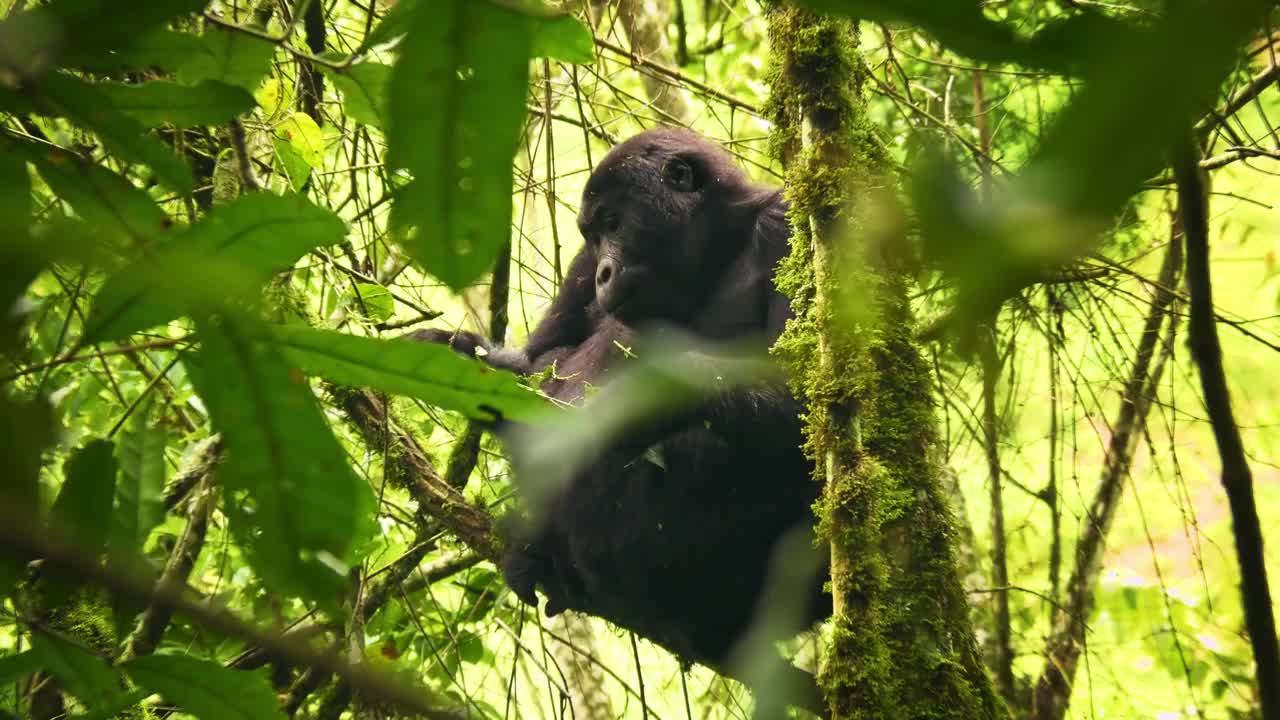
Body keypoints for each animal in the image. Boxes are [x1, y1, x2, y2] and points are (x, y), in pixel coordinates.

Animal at [414, 127, 824, 696]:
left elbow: (819, 405)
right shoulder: (581, 270)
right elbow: (537, 368)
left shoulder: (786, 226)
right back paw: (542, 555)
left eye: (614, 223)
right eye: (592, 236)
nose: (606, 272)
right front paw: (461, 356)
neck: (715, 250)